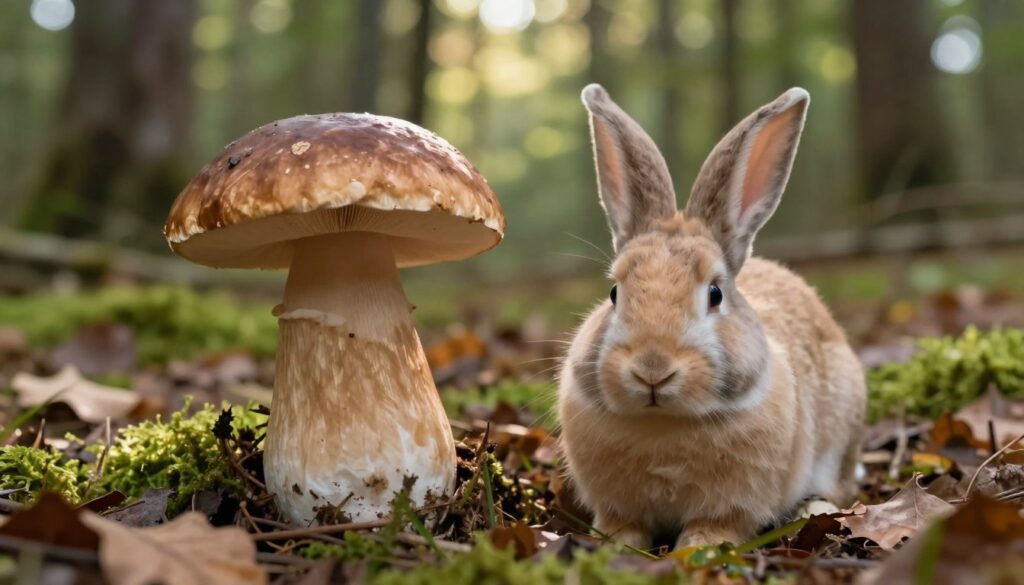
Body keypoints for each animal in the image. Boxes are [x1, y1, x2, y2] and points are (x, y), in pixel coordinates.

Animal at [557, 84, 866, 550]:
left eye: (715, 294)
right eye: (614, 293)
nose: (652, 369)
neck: (664, 425)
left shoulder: (734, 505)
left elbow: (718, 526)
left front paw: (699, 548)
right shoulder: (618, 505)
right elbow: (623, 524)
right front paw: (616, 544)